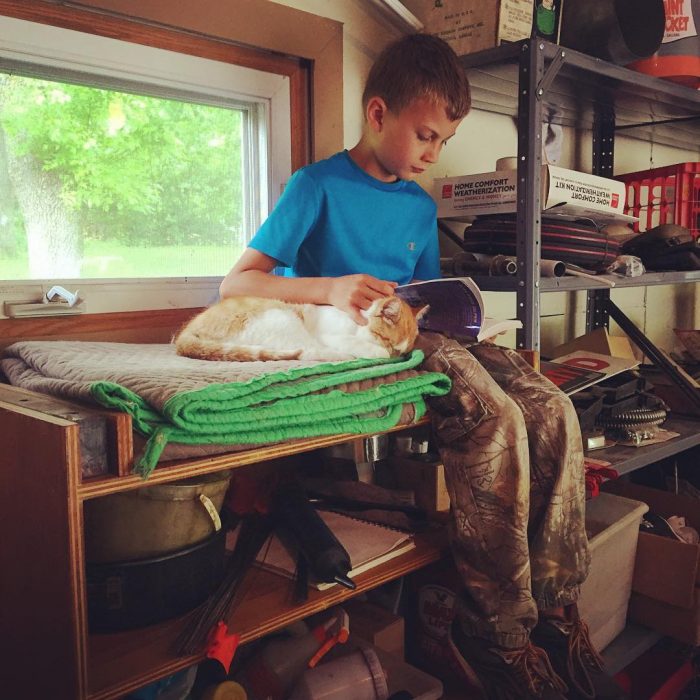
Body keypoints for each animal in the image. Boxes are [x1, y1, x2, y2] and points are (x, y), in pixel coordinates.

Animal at [175, 294, 426, 360]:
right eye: (387, 341)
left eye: (402, 351)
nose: (396, 356)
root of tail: (184, 334)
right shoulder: (331, 336)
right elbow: (364, 346)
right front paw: (379, 352)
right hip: (283, 320)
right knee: (307, 352)